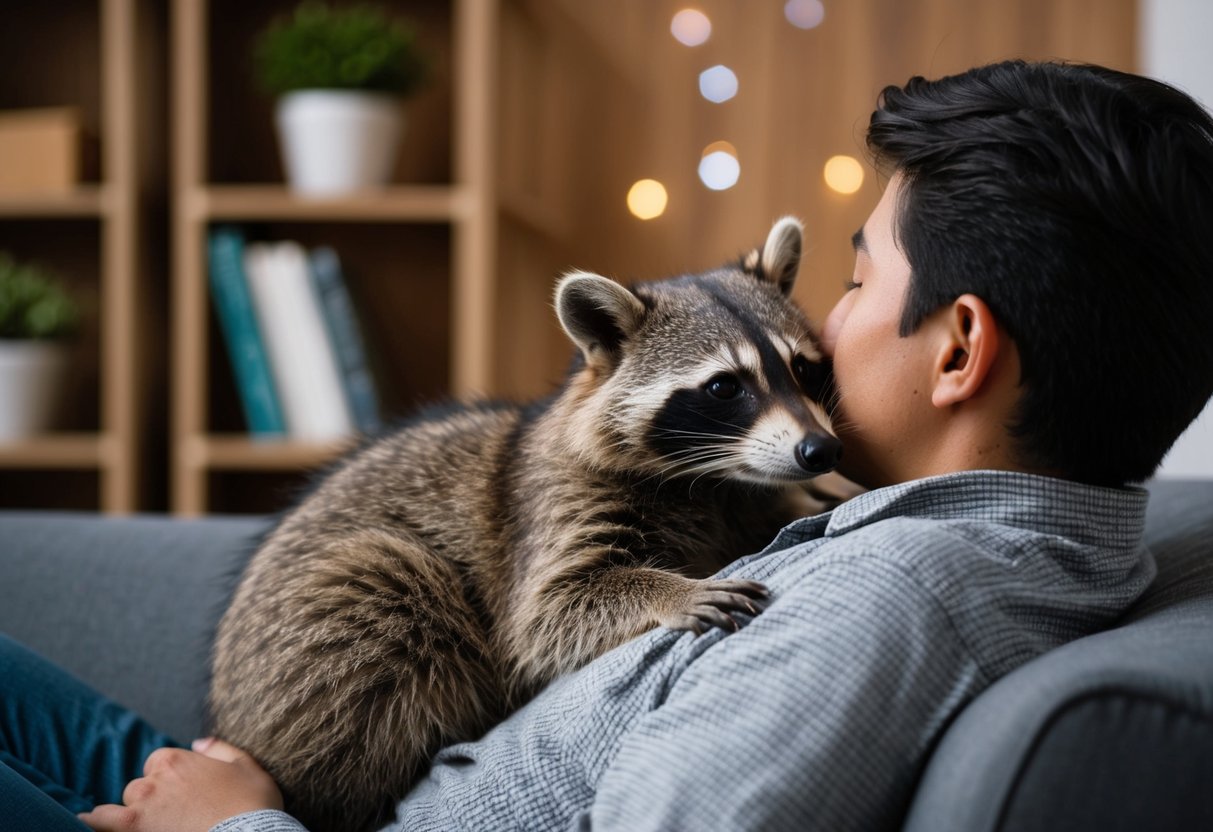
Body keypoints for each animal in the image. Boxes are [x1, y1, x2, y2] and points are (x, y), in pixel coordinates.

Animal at [209, 216, 842, 832]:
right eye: (724, 386)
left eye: (804, 368)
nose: (821, 450)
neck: (713, 478)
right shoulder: (551, 504)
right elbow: (547, 616)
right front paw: (670, 590)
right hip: (347, 614)